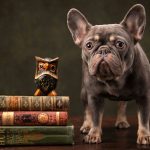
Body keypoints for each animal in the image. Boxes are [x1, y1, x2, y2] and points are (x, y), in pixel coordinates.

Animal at [67, 3, 150, 144]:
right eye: (88, 45)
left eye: (120, 44)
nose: (103, 50)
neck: (114, 79)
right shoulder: (94, 97)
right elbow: (95, 117)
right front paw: (93, 133)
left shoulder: (143, 96)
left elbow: (143, 118)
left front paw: (144, 135)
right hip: (84, 92)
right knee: (87, 110)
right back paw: (87, 125)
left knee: (122, 104)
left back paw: (121, 121)